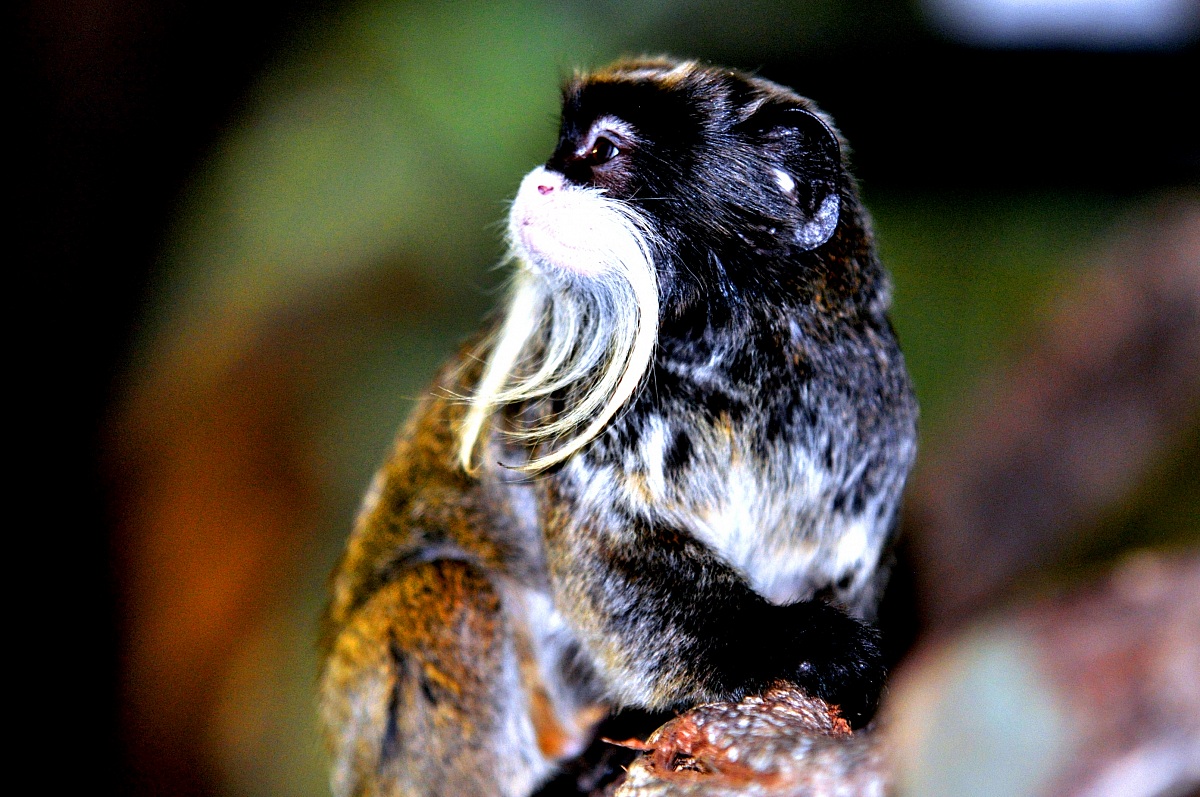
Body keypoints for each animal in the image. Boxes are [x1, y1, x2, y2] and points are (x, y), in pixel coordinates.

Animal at [319, 57, 918, 797]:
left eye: (602, 150)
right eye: (561, 145)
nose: (539, 181)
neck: (733, 366)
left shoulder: (870, 406)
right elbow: (614, 568)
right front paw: (795, 639)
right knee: (450, 593)